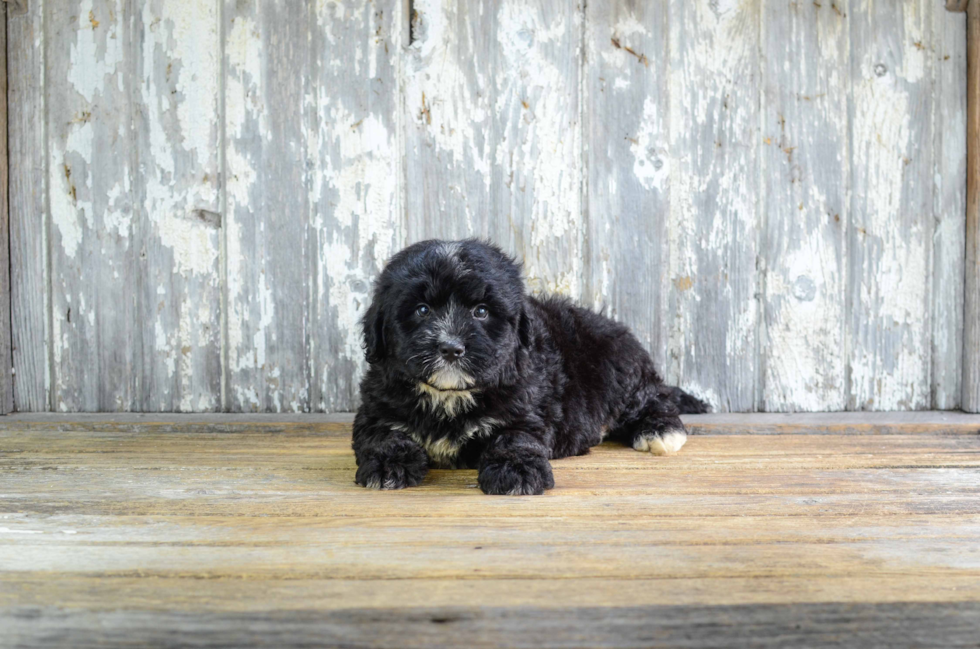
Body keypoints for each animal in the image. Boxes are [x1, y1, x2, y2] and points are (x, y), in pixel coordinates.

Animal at [352, 240, 704, 494]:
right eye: (422, 310)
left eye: (481, 311)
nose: (451, 347)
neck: (449, 397)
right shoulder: (376, 407)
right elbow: (380, 435)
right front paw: (387, 465)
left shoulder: (524, 410)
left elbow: (514, 439)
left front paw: (517, 471)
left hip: (618, 367)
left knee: (653, 397)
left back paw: (659, 429)